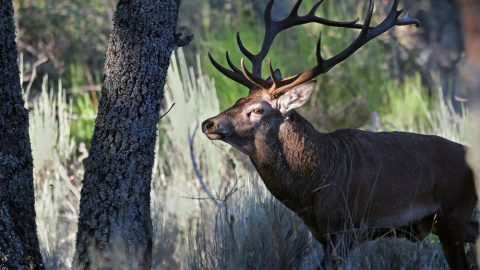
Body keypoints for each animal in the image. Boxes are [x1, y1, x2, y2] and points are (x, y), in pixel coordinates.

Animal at [201, 0, 478, 268]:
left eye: (257, 109)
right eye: (238, 100)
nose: (208, 123)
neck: (313, 184)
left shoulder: (344, 229)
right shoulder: (323, 235)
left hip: (454, 215)